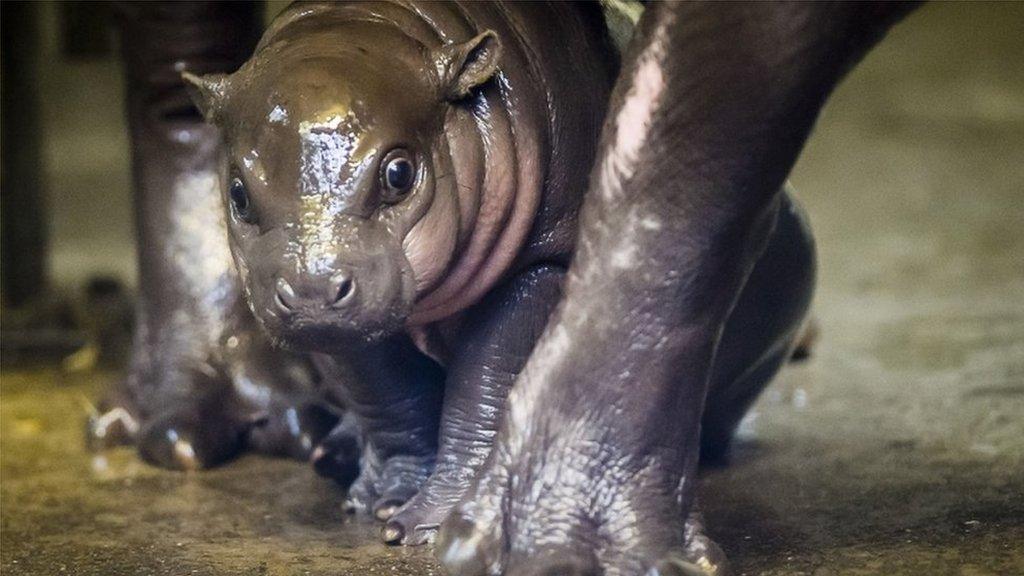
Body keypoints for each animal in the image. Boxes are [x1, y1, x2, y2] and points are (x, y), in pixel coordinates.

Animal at [182, 0, 614, 541]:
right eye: (238, 192)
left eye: (398, 173)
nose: (310, 290)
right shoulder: (350, 323)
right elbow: (389, 395)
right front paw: (385, 506)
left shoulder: (540, 262)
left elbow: (486, 384)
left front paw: (441, 522)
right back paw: (331, 455)